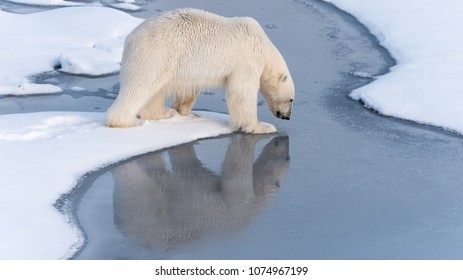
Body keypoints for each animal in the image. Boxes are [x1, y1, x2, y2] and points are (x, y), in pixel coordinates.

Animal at [104, 8, 294, 133]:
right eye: (291, 99)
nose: (287, 117)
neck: (264, 45)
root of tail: (130, 38)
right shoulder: (247, 60)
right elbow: (241, 92)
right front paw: (262, 126)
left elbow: (188, 89)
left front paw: (186, 112)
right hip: (156, 55)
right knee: (140, 86)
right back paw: (123, 122)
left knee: (157, 90)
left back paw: (164, 112)